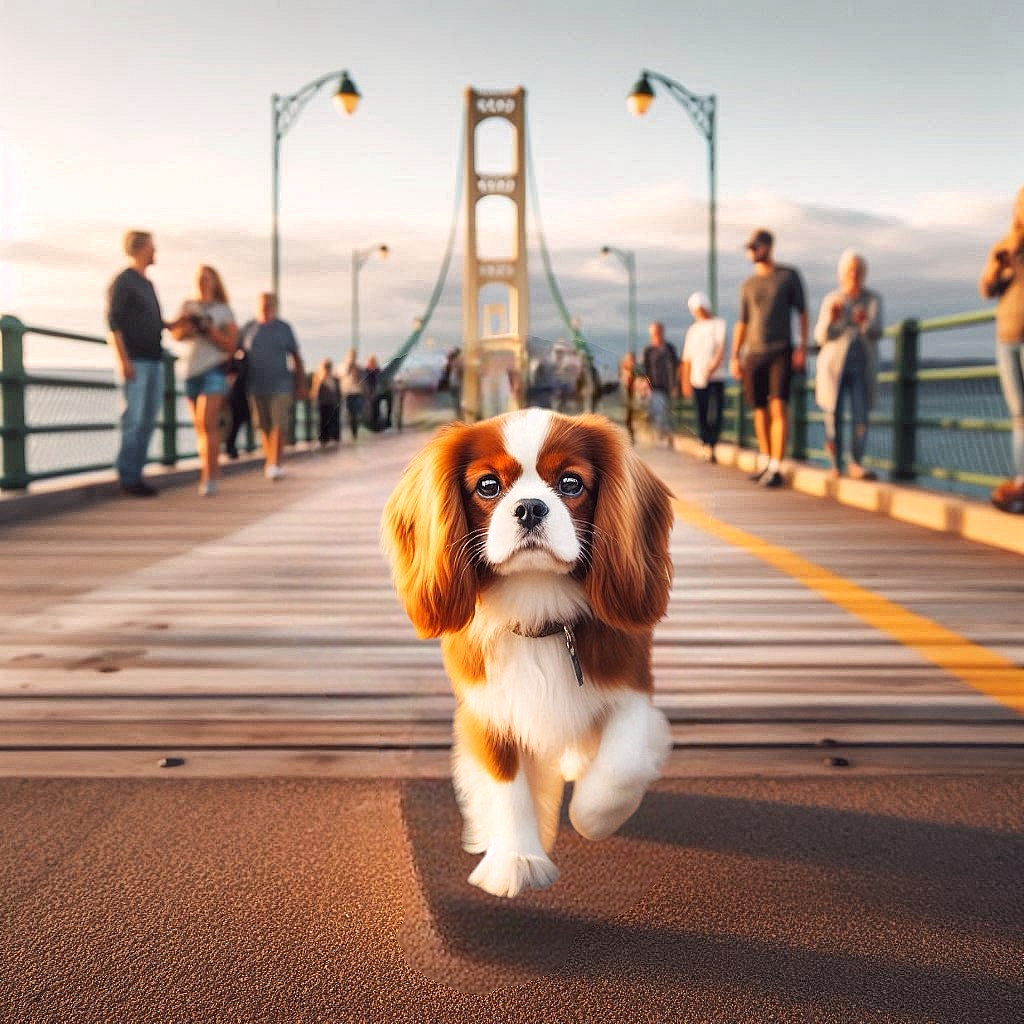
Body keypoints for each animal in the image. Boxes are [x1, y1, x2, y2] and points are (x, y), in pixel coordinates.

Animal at [380, 407, 675, 897]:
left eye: (571, 483)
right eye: (488, 486)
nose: (530, 507)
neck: (537, 606)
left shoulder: (630, 683)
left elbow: (623, 765)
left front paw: (589, 817)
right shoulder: (489, 709)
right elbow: (506, 785)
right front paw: (517, 859)